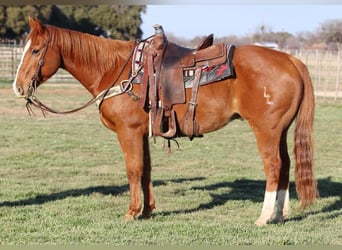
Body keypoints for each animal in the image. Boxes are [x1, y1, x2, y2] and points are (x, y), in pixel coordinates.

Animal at [13, 16, 318, 226]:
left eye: (36, 51)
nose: (18, 87)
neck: (118, 69)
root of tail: (291, 60)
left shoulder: (128, 131)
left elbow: (133, 169)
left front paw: (132, 212)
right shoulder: (142, 132)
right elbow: (146, 170)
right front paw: (148, 210)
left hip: (266, 130)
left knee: (274, 166)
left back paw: (264, 216)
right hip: (280, 131)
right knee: (286, 165)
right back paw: (280, 214)